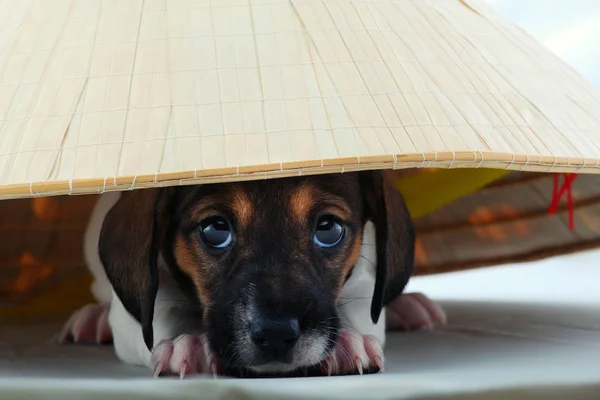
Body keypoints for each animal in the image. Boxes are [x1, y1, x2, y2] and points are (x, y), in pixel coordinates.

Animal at [61, 172, 446, 378]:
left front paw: (346, 344)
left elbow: (358, 312)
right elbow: (162, 315)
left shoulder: (364, 283)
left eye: (329, 229)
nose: (276, 335)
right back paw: (93, 318)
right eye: (215, 229)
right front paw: (191, 344)